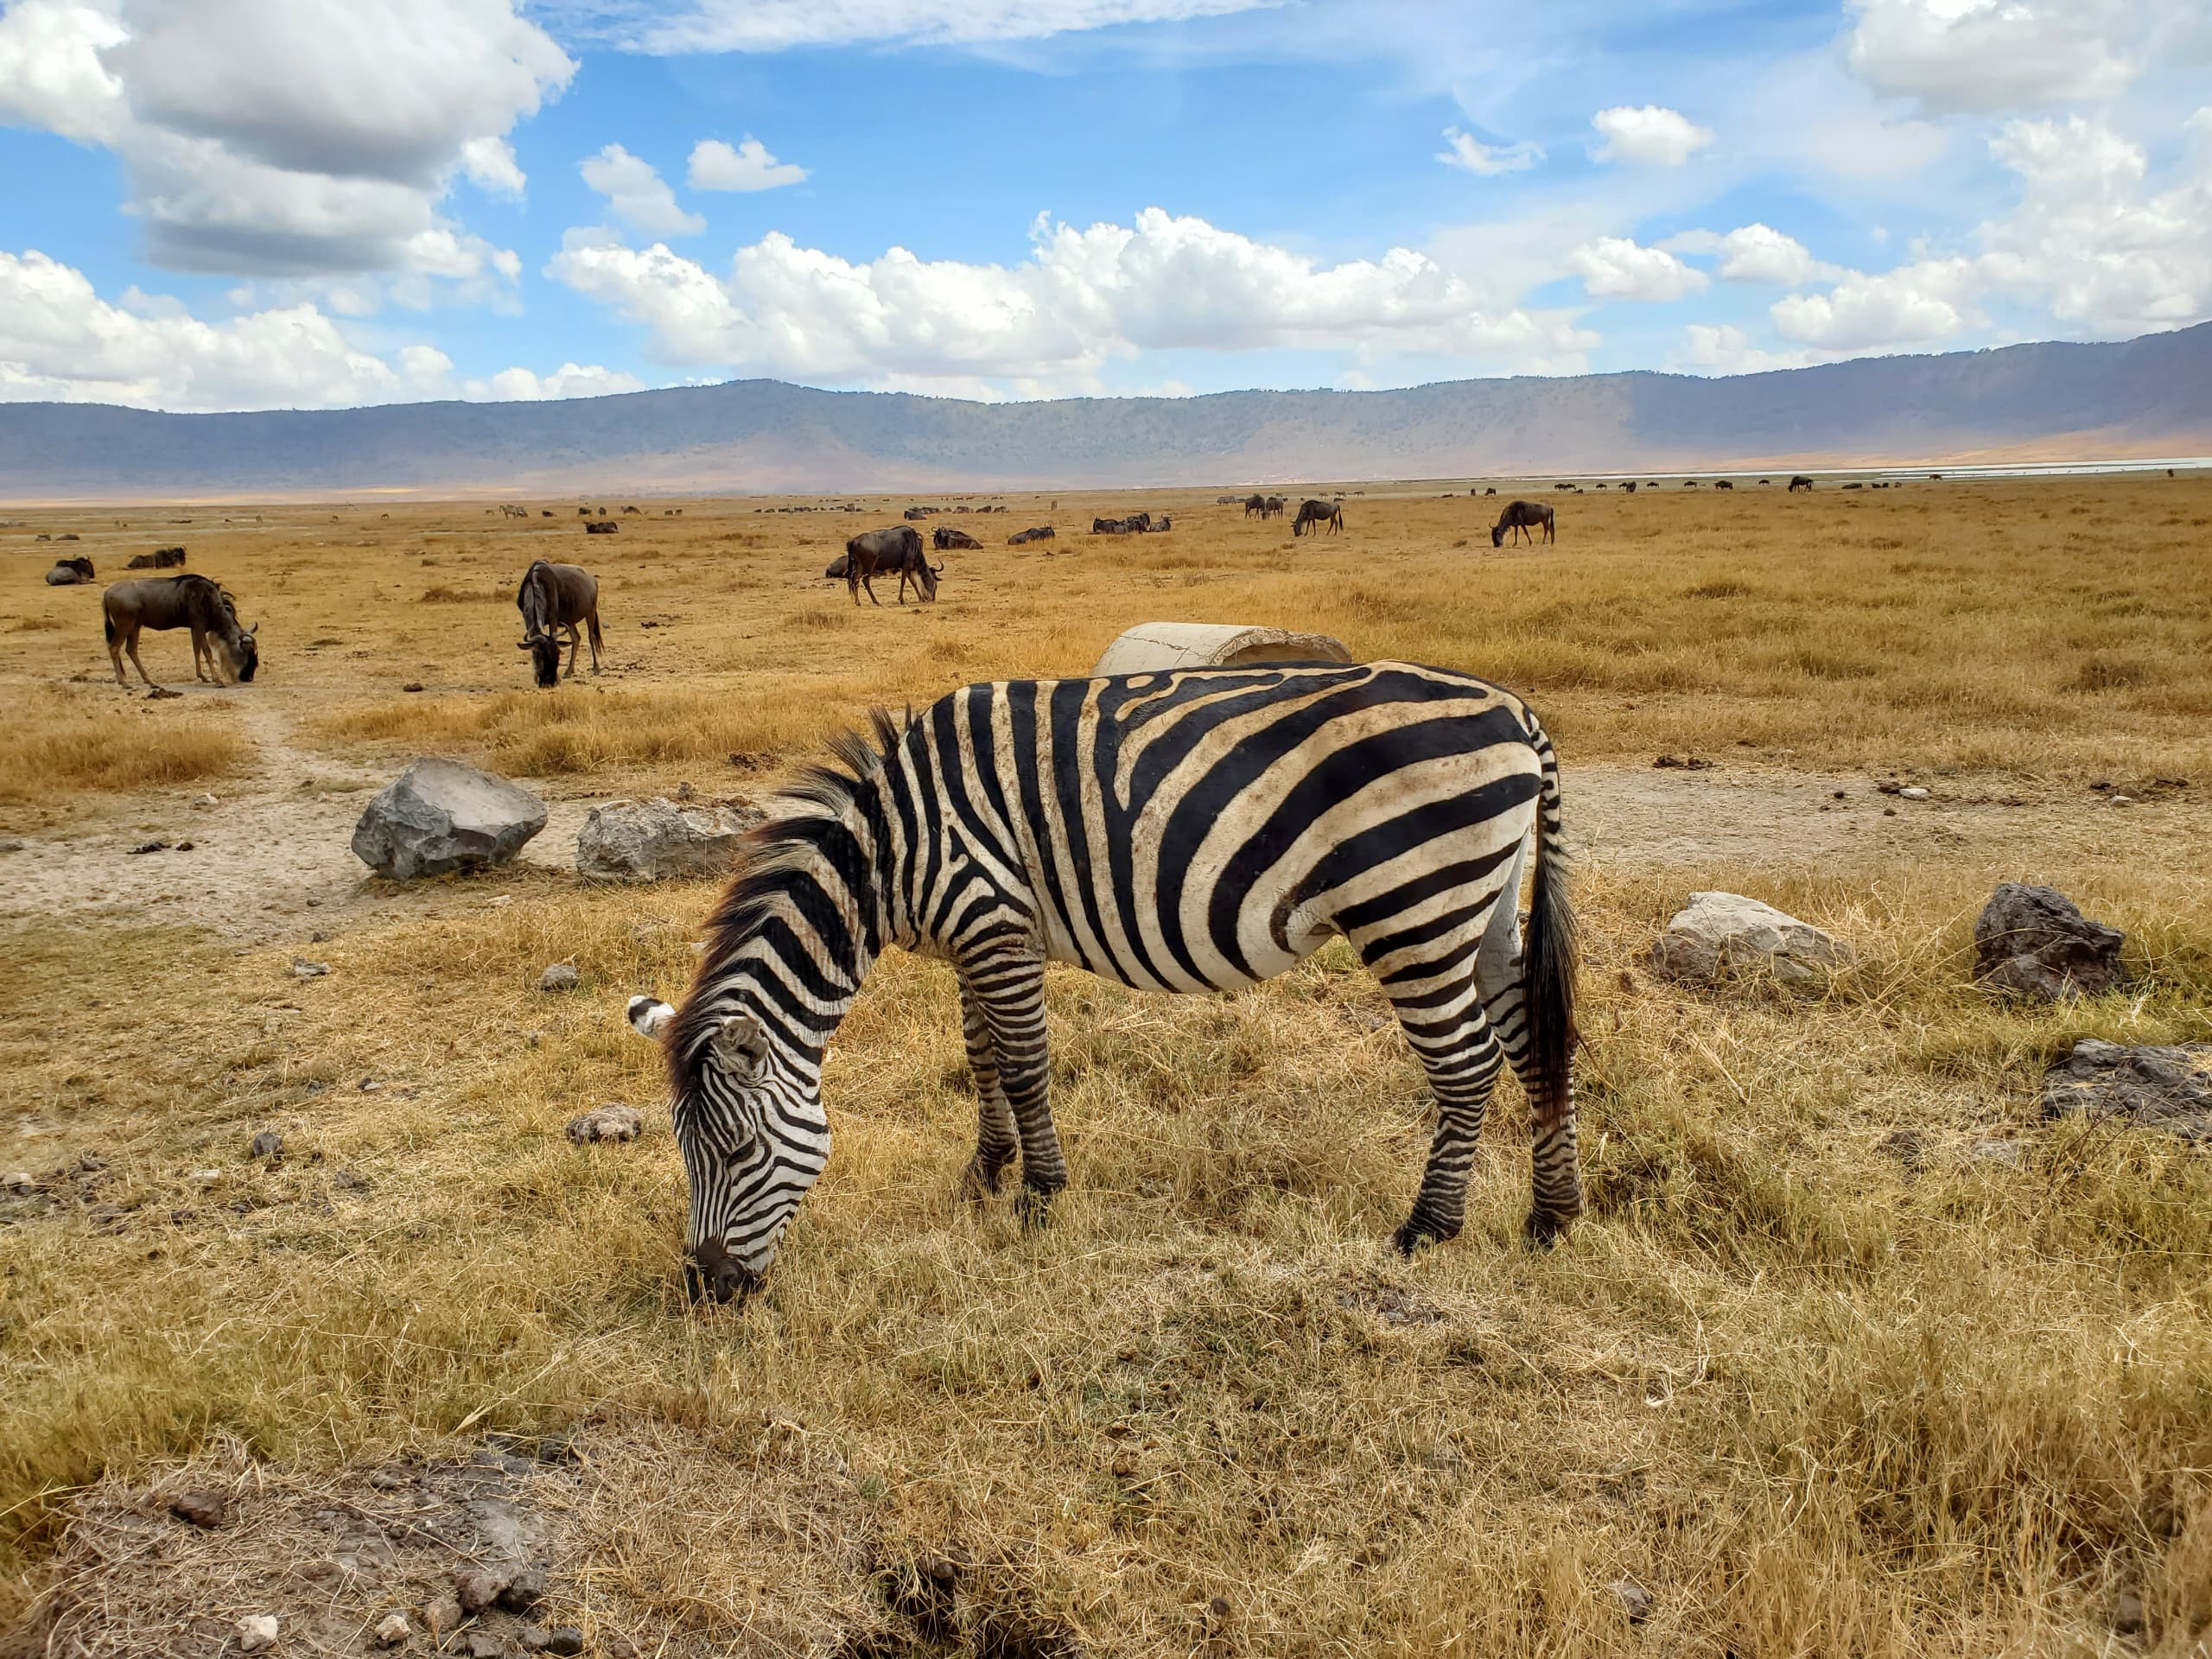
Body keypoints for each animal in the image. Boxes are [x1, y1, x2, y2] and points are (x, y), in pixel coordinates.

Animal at [632, 664, 1583, 1309]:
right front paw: (984, 1174)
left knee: (1466, 1066)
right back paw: (1551, 1219)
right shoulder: (976, 939)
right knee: (1541, 1045)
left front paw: (1039, 1199)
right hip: (1482, 909)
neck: (891, 853)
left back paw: (1427, 1229)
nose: (706, 1289)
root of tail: (1515, 710)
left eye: (738, 1155)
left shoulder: (994, 921)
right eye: (682, 1154)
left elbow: (1023, 1067)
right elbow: (980, 1061)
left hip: (1412, 905)